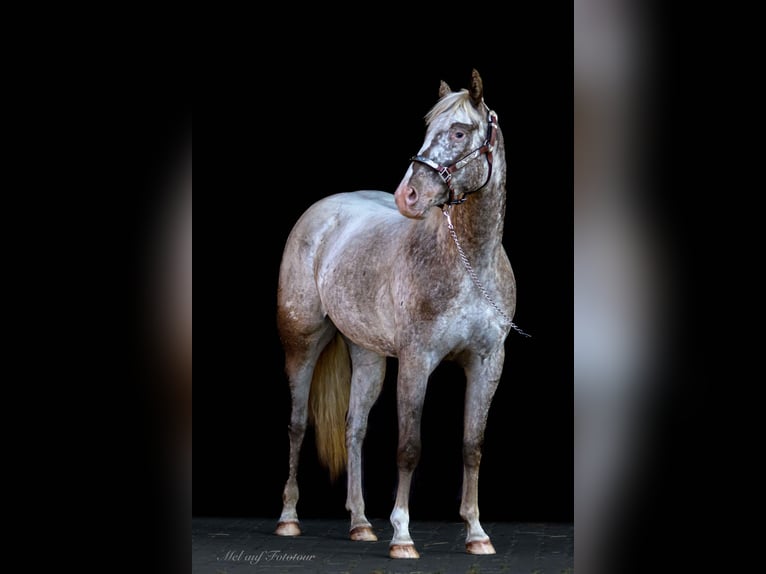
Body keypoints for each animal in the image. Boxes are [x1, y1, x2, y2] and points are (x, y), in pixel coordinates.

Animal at [275, 69, 525, 559]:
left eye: (459, 132)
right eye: (427, 129)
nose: (407, 196)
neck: (468, 262)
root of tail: (322, 211)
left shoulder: (488, 363)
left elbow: (472, 445)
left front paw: (476, 533)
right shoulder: (417, 361)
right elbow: (409, 446)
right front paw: (403, 535)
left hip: (368, 355)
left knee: (354, 428)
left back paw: (359, 524)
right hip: (302, 344)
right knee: (296, 425)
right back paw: (289, 519)